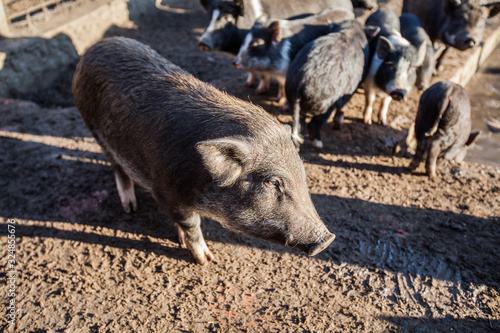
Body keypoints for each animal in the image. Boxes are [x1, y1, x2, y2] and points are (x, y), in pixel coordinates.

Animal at [71, 37, 336, 264]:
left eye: (302, 173)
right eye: (273, 182)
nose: (327, 240)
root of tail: (94, 48)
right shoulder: (167, 192)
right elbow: (191, 225)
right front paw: (206, 260)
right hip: (94, 129)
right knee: (117, 167)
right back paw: (130, 207)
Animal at [286, 18, 372, 147]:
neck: (350, 31)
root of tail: (299, 84)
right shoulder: (351, 89)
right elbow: (343, 106)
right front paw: (338, 126)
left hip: (291, 97)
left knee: (300, 122)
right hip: (326, 104)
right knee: (314, 123)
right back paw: (318, 143)